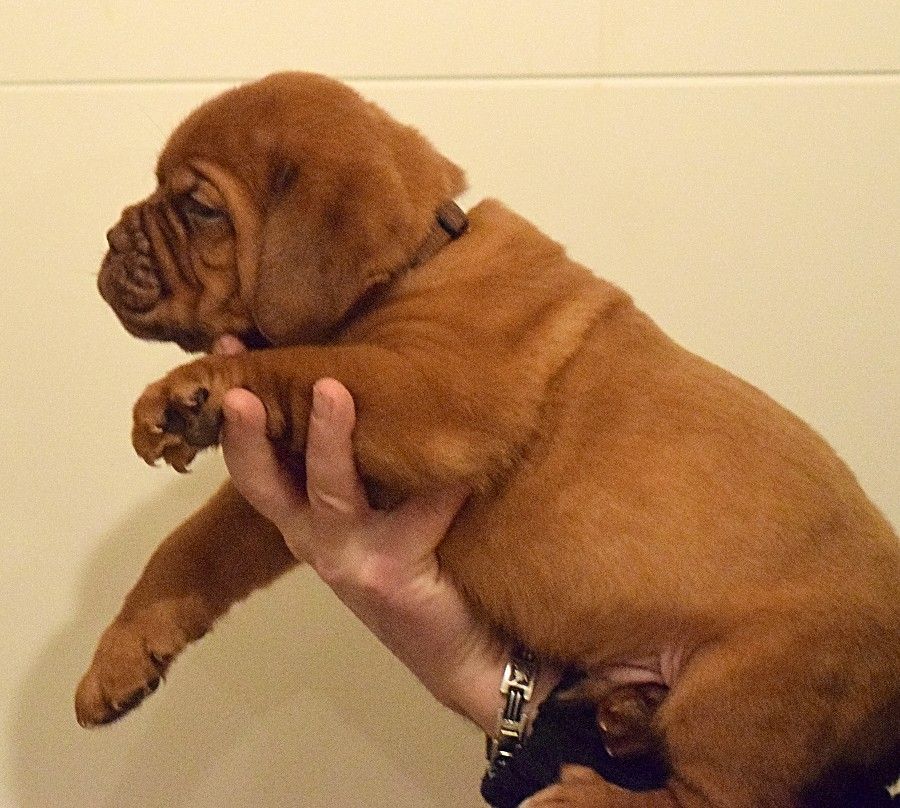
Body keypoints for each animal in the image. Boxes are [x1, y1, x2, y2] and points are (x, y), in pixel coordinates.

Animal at [78, 72, 899, 806]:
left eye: (198, 207)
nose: (111, 239)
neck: (416, 264)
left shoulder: (427, 396)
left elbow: (296, 365)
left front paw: (190, 391)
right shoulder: (293, 480)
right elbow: (189, 546)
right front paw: (118, 658)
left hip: (744, 695)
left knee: (719, 796)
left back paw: (583, 795)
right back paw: (629, 718)